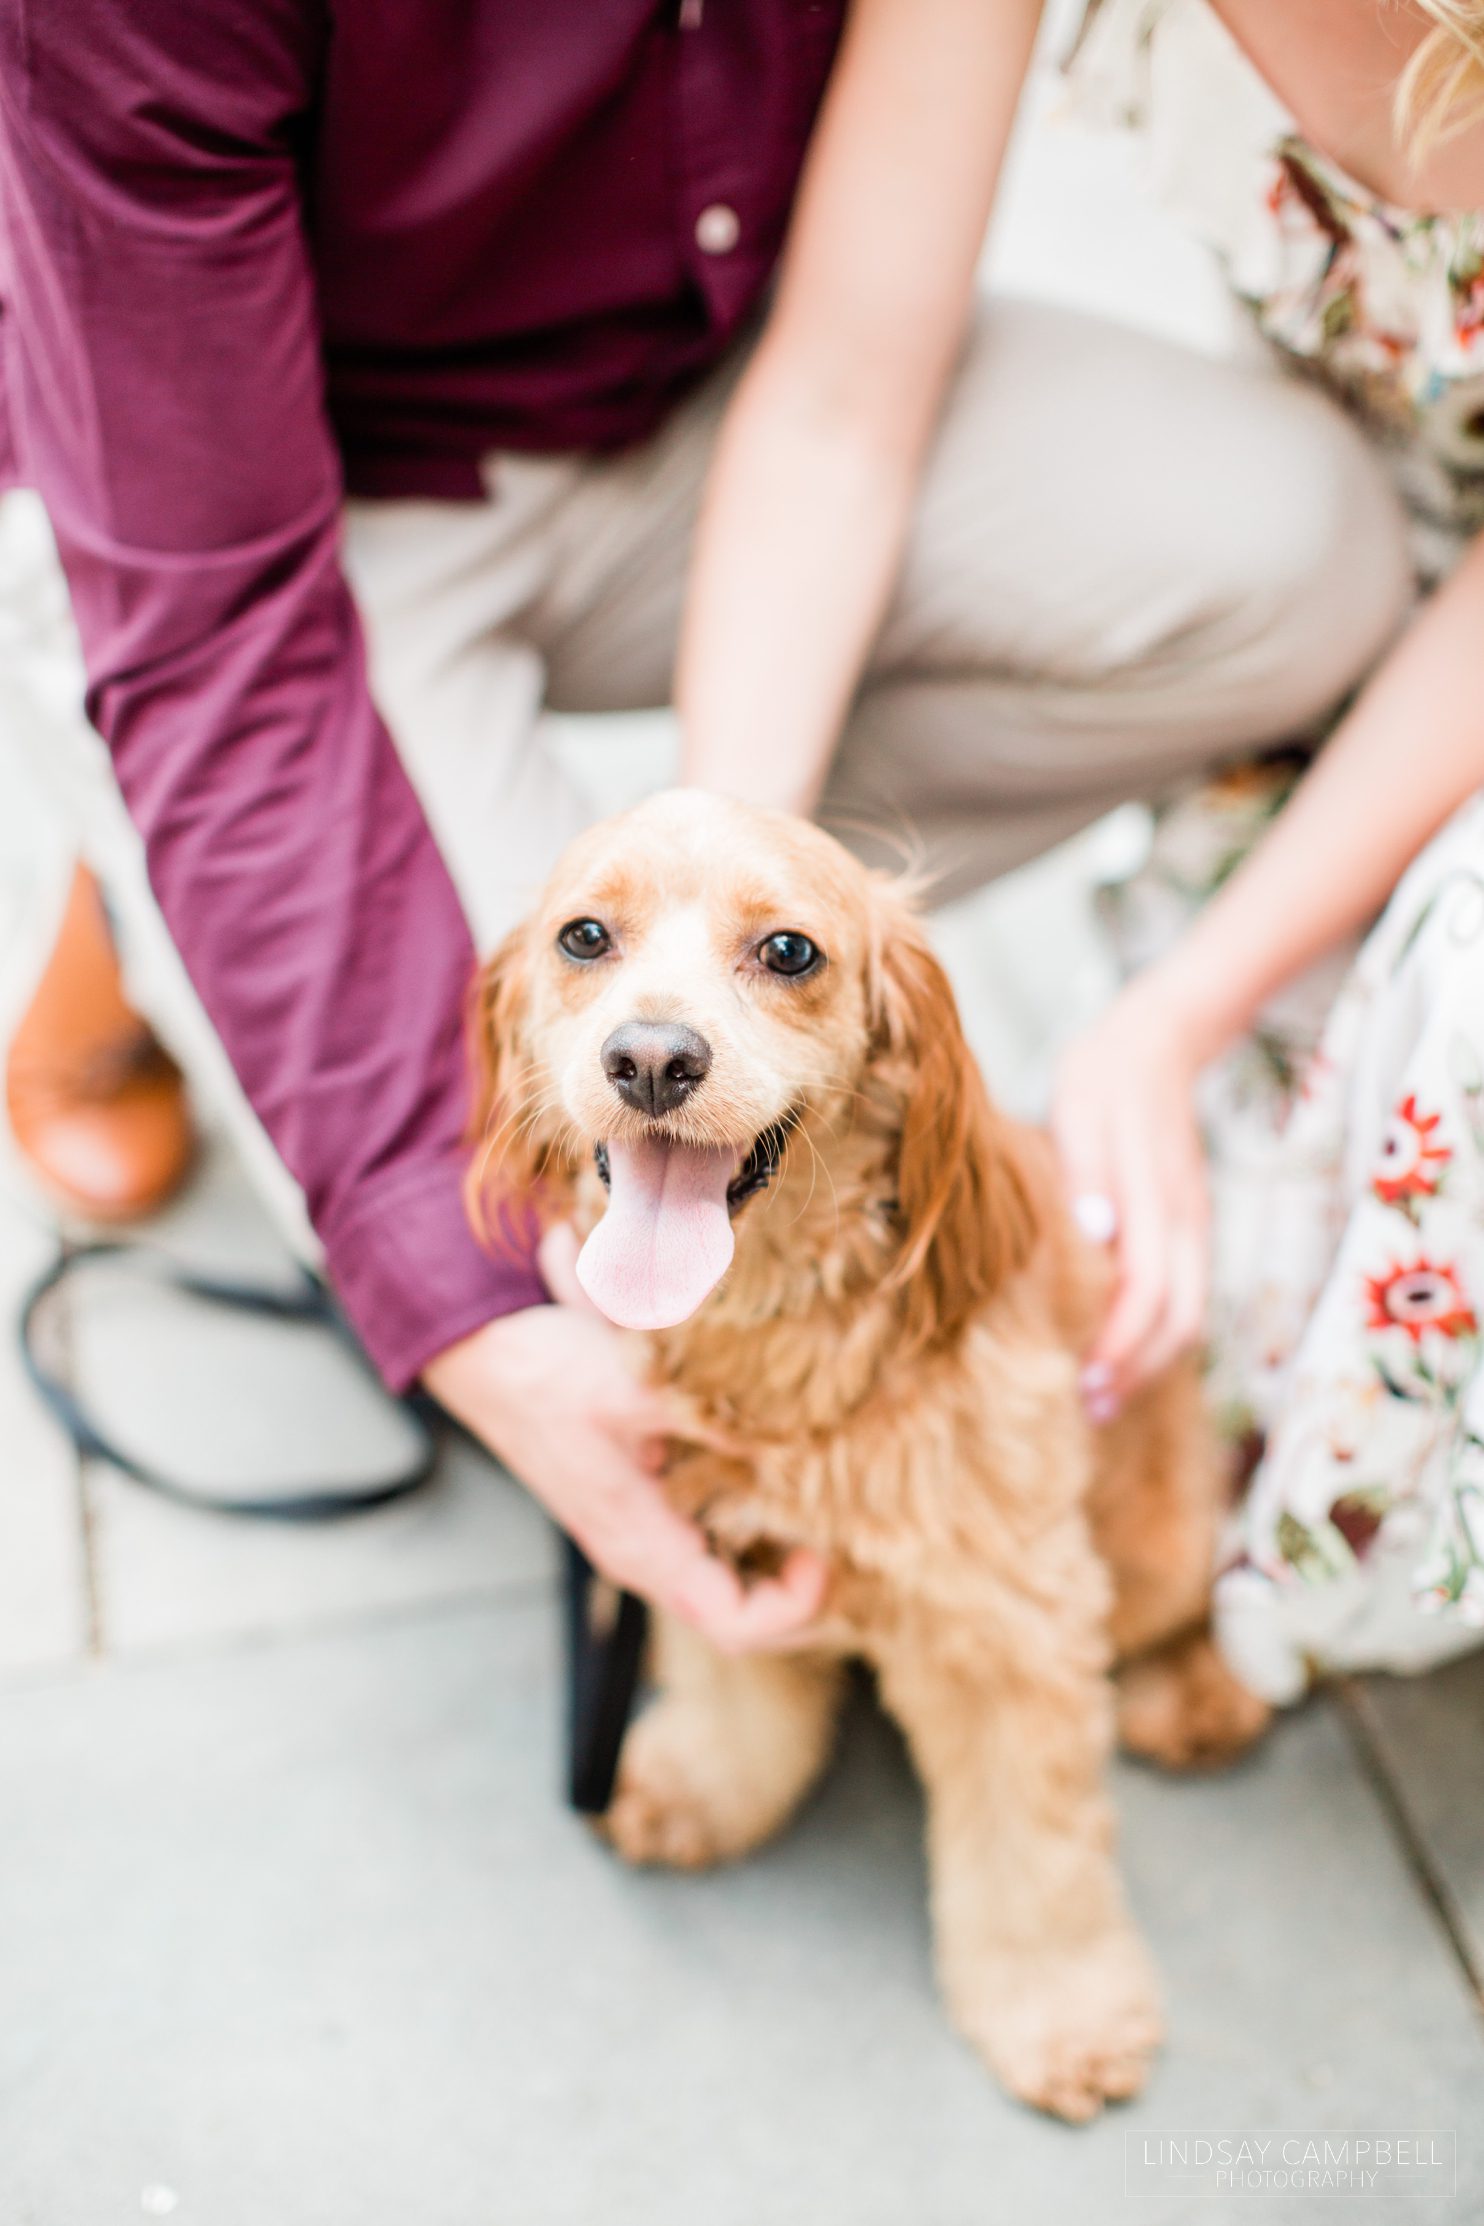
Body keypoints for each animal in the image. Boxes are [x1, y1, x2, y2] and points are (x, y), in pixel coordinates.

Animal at [473, 788, 1263, 2119]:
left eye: (788, 950)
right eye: (583, 936)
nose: (650, 1060)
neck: (780, 1346)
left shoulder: (1009, 1629)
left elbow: (1033, 1858)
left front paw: (1060, 2013)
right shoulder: (701, 1539)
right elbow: (737, 1700)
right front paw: (704, 1788)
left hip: (1151, 1532)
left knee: (1189, 1592)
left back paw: (1197, 1693)